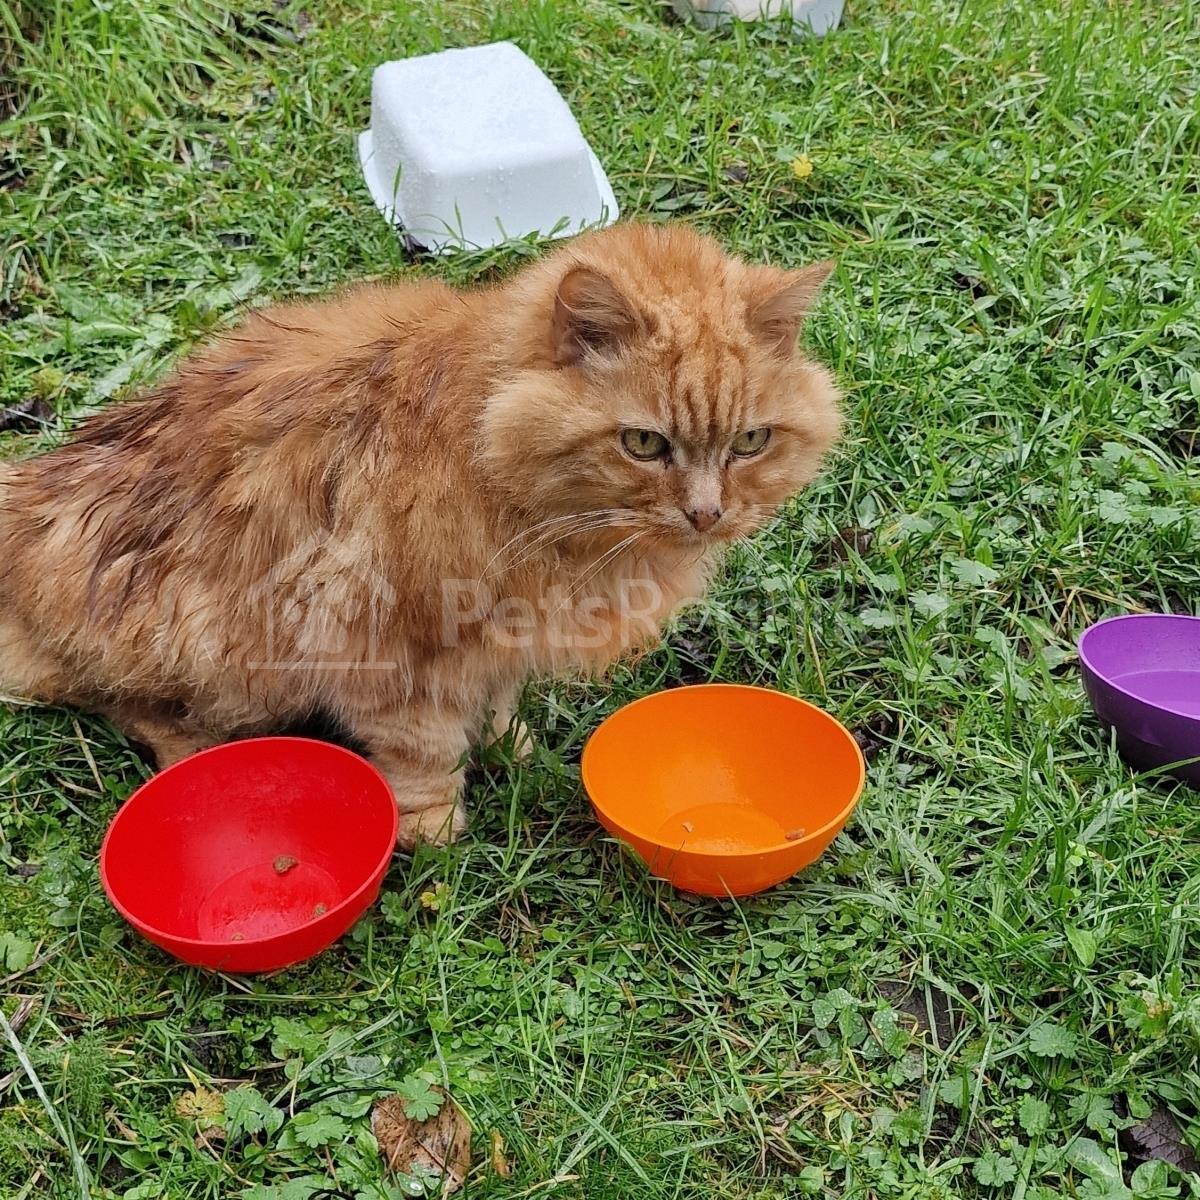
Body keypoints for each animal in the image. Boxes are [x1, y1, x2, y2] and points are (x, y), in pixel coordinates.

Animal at [0, 223, 841, 847]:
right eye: (644, 444)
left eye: (751, 442)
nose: (708, 513)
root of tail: (32, 490)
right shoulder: (382, 637)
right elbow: (425, 750)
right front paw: (436, 833)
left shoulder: (503, 630)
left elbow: (496, 701)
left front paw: (509, 747)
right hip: (211, 651)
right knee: (109, 699)